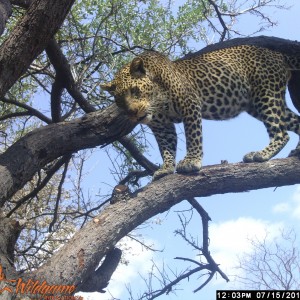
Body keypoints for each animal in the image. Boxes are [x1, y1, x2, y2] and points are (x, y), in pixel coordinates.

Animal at [101, 44, 300, 180]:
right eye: (119, 101)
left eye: (134, 91)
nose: (134, 113)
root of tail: (278, 54)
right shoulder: (161, 126)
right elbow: (166, 147)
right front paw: (166, 168)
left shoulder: (189, 104)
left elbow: (193, 136)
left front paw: (191, 161)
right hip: (258, 104)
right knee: (296, 120)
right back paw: (297, 152)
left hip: (265, 94)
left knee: (281, 133)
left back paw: (261, 154)